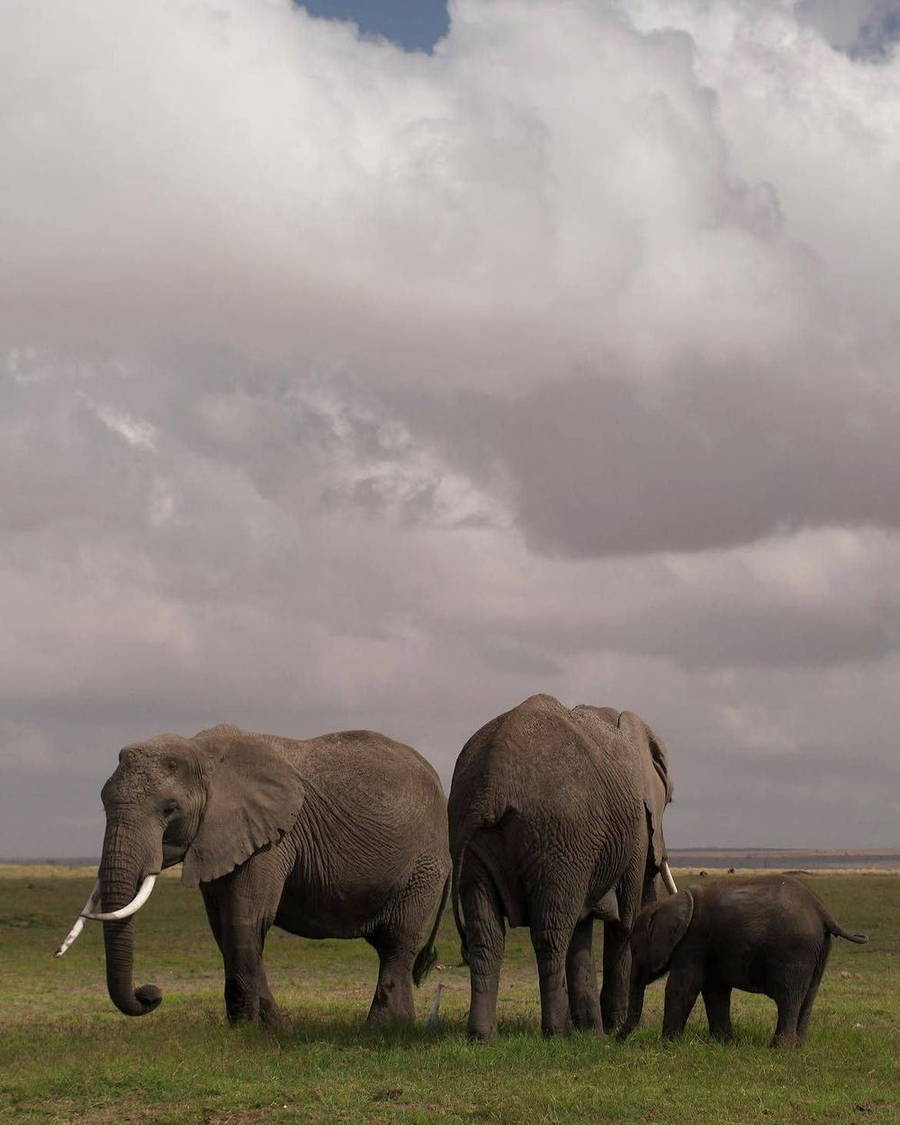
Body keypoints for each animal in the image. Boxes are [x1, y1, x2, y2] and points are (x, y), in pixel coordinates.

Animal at [56, 724, 451, 1027]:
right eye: (103, 803)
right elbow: (223, 927)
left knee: (398, 941)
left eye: (170, 810)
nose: (151, 993)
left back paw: (385, 1028)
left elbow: (244, 920)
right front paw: (261, 1027)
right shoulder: (218, 840)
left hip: (425, 865)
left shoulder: (272, 839)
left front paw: (254, 1030)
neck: (203, 755)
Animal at [448, 693, 677, 1040]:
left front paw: (592, 1032)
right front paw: (609, 1029)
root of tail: (493, 781)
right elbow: (624, 922)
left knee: (486, 936)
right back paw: (556, 1033)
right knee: (552, 933)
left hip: (472, 835)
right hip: (558, 836)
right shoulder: (635, 828)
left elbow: (582, 930)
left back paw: (482, 1037)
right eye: (670, 800)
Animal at [618, 874, 869, 1047]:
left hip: (795, 950)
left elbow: (682, 987)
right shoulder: (710, 947)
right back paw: (798, 1047)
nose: (617, 1041)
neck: (668, 903)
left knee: (789, 997)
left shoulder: (693, 942)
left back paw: (779, 1049)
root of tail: (823, 912)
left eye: (635, 948)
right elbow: (715, 991)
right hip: (820, 949)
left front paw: (666, 1045)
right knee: (807, 997)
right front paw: (721, 1044)